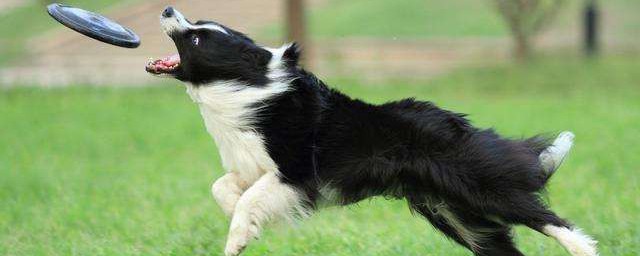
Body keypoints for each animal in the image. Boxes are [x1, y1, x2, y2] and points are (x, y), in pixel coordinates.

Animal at [148, 7, 596, 255]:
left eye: (197, 37)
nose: (167, 8)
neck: (244, 89)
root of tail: (460, 124)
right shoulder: (250, 166)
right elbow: (224, 187)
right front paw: (233, 214)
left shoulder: (295, 174)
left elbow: (251, 199)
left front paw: (237, 238)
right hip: (454, 213)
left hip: (478, 188)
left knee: (544, 215)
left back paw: (583, 248)